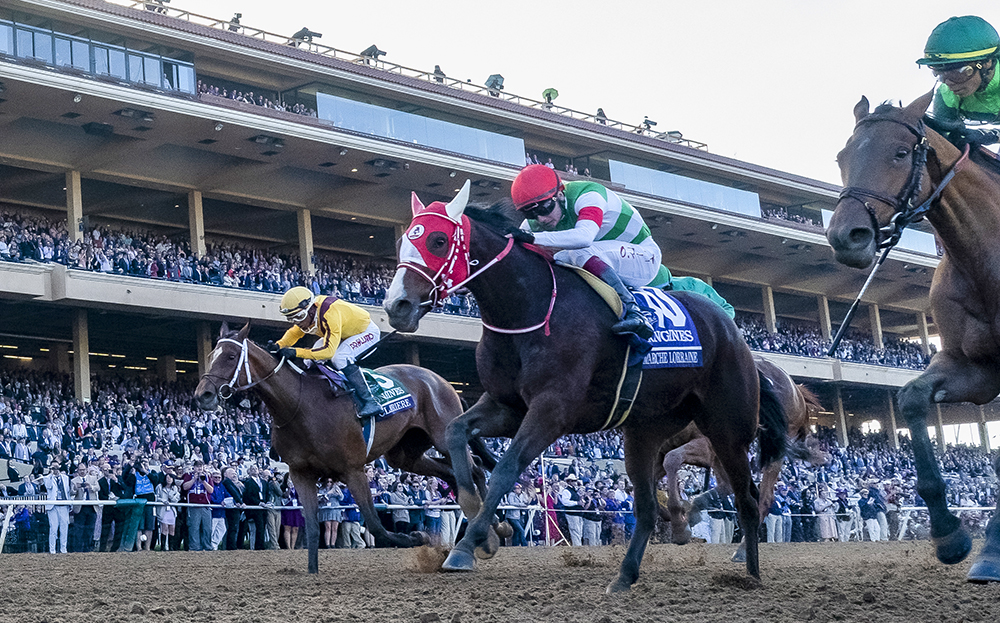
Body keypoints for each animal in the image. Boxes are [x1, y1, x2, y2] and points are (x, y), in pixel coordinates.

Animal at [192, 324, 496, 572]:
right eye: (212, 354)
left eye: (231, 357)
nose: (202, 395)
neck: (300, 404)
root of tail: (442, 380)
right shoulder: (301, 473)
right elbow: (313, 528)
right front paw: (312, 572)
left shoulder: (353, 469)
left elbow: (375, 525)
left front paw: (415, 537)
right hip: (404, 455)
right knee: (453, 474)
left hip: (443, 436)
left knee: (475, 469)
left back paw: (489, 534)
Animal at [382, 182, 788, 588]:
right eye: (402, 241)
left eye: (437, 240)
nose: (396, 306)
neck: (529, 309)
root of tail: (731, 329)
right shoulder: (508, 406)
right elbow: (455, 432)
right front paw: (481, 522)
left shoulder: (553, 410)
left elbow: (506, 468)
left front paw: (469, 544)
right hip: (645, 431)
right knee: (646, 506)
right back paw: (625, 575)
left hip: (727, 426)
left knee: (748, 497)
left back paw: (751, 574)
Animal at [828, 90, 1000, 584]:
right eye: (842, 157)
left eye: (901, 153)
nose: (846, 236)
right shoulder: (973, 368)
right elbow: (909, 399)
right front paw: (949, 534)